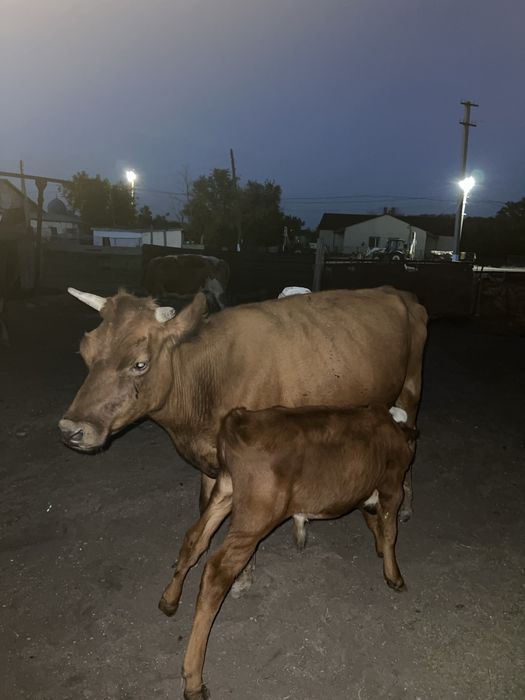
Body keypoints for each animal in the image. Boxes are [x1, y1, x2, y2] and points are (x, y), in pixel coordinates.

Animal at [59, 286, 428, 592]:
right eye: (85, 353)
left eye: (140, 364)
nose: (70, 429)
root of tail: (398, 293)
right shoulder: (211, 464)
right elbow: (205, 510)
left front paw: (243, 576)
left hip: (411, 391)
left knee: (412, 446)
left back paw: (406, 507)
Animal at [159, 403, 417, 699]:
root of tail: (240, 419)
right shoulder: (392, 486)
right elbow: (390, 532)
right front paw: (394, 576)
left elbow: (374, 522)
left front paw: (378, 549)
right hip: (255, 518)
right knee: (217, 572)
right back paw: (193, 680)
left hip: (224, 492)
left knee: (194, 540)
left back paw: (169, 600)